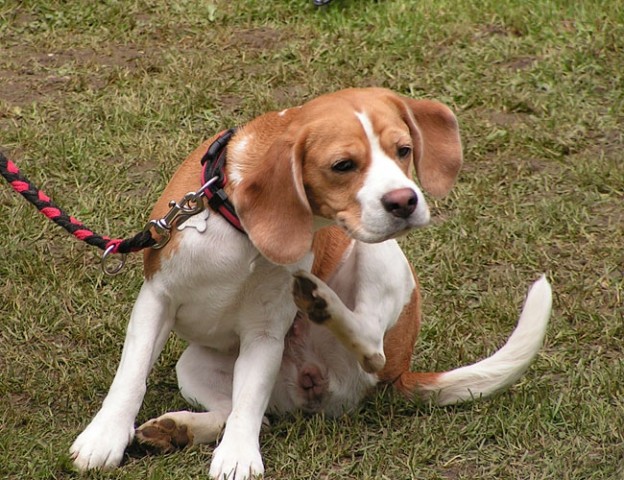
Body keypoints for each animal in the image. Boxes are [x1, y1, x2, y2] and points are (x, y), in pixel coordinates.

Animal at [69, 88, 552, 478]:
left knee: (369, 344)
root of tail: (400, 373)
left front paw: (237, 458)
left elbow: (248, 401)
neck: (236, 229)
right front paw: (104, 437)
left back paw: (322, 302)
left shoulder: (265, 333)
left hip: (380, 259)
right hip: (193, 365)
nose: (405, 200)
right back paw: (177, 429)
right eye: (343, 165)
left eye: (403, 150)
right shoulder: (157, 299)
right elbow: (132, 377)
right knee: (256, 416)